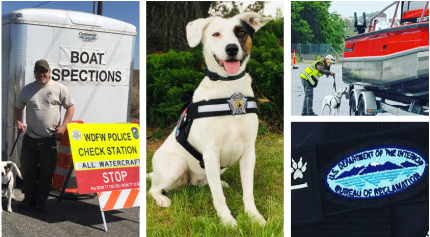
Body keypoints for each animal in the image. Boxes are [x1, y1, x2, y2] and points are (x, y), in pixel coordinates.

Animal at [146, 12, 270, 226]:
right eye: (216, 34)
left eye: (241, 32)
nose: (232, 49)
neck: (229, 89)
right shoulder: (211, 153)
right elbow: (218, 196)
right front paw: (227, 220)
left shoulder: (248, 152)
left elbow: (248, 191)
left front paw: (254, 216)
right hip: (177, 165)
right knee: (153, 188)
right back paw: (162, 199)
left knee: (207, 183)